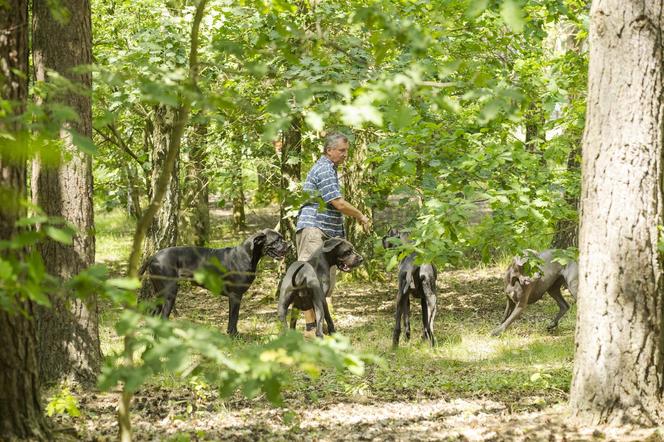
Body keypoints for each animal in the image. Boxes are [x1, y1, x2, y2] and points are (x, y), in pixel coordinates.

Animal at [139, 228, 290, 334]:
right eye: (277, 240)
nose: (288, 245)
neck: (248, 255)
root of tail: (153, 256)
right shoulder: (235, 296)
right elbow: (234, 317)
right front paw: (234, 335)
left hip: (160, 293)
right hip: (169, 294)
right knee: (163, 317)